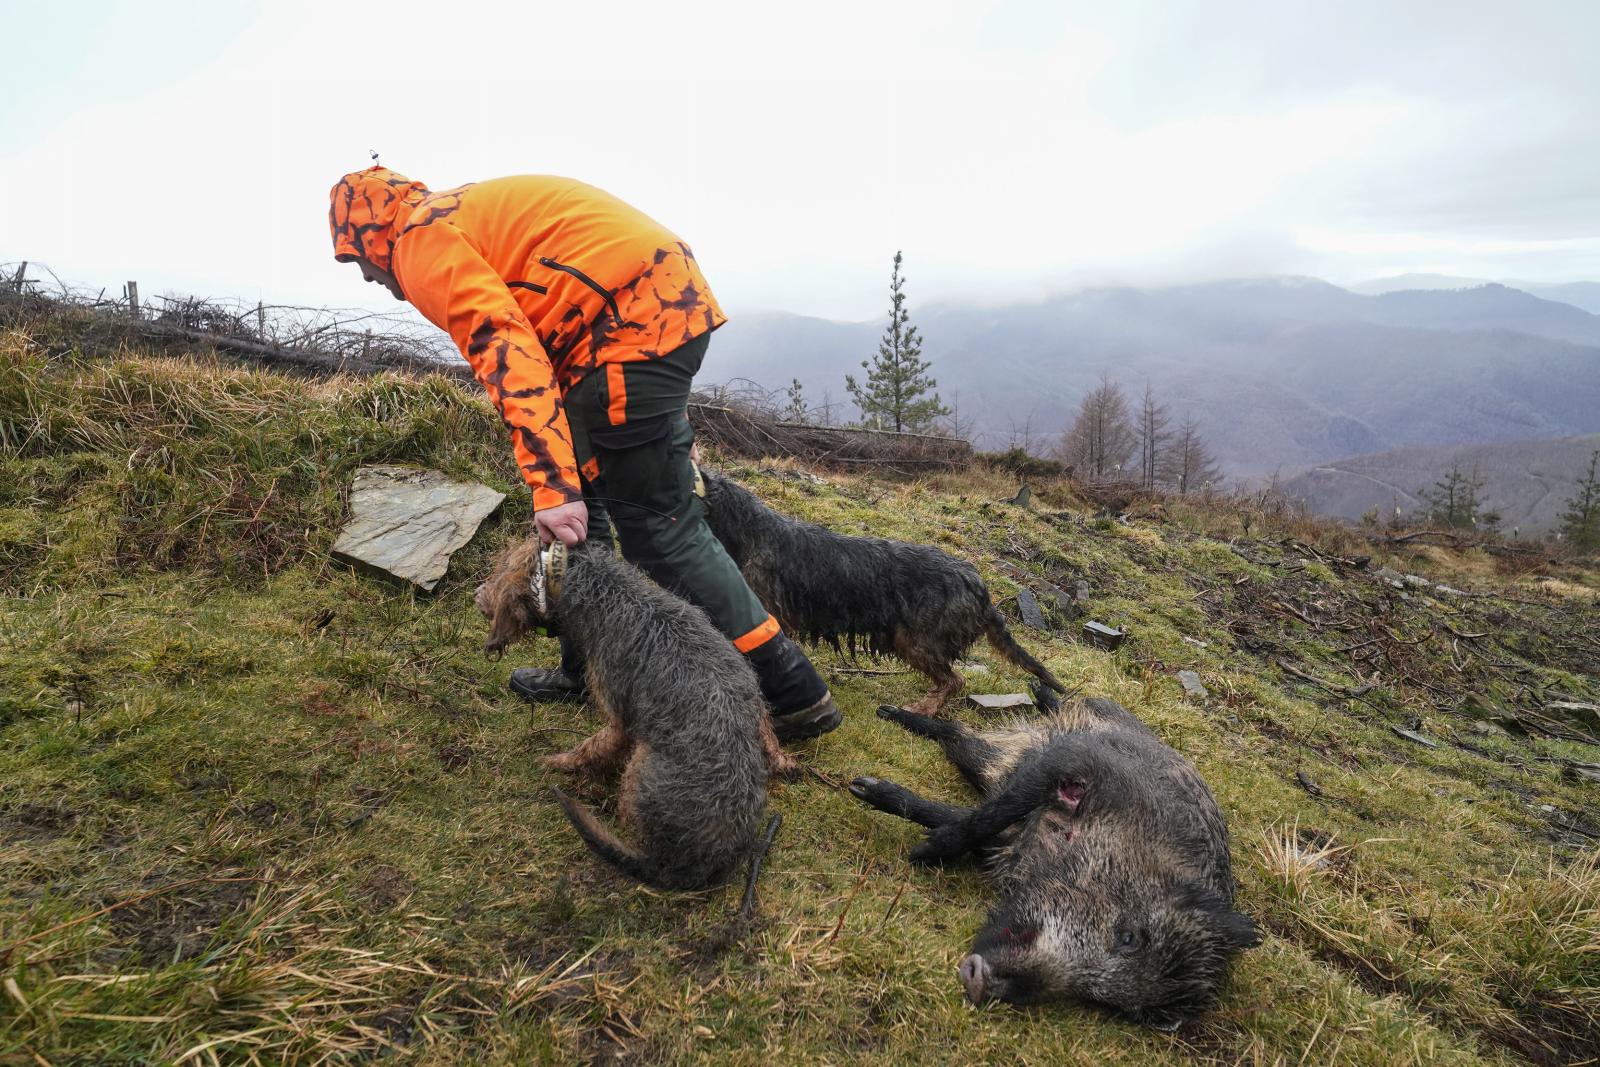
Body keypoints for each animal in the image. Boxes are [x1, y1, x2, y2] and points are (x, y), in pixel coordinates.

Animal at [473, 537, 800, 889]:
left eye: (499, 571)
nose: (476, 594)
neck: (614, 594)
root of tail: (694, 864)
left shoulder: (619, 718)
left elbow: (592, 747)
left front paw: (560, 762)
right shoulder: (755, 702)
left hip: (640, 765)